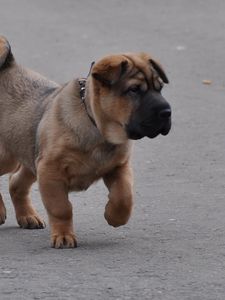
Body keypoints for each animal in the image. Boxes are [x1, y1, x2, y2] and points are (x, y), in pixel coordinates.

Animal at [0, 37, 171, 248]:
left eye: (160, 88)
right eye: (133, 90)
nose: (167, 112)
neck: (96, 127)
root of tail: (9, 65)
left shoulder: (119, 167)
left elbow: (124, 196)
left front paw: (114, 216)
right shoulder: (50, 170)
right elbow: (61, 208)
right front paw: (64, 236)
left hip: (30, 157)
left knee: (16, 182)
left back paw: (27, 216)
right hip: (7, 157)